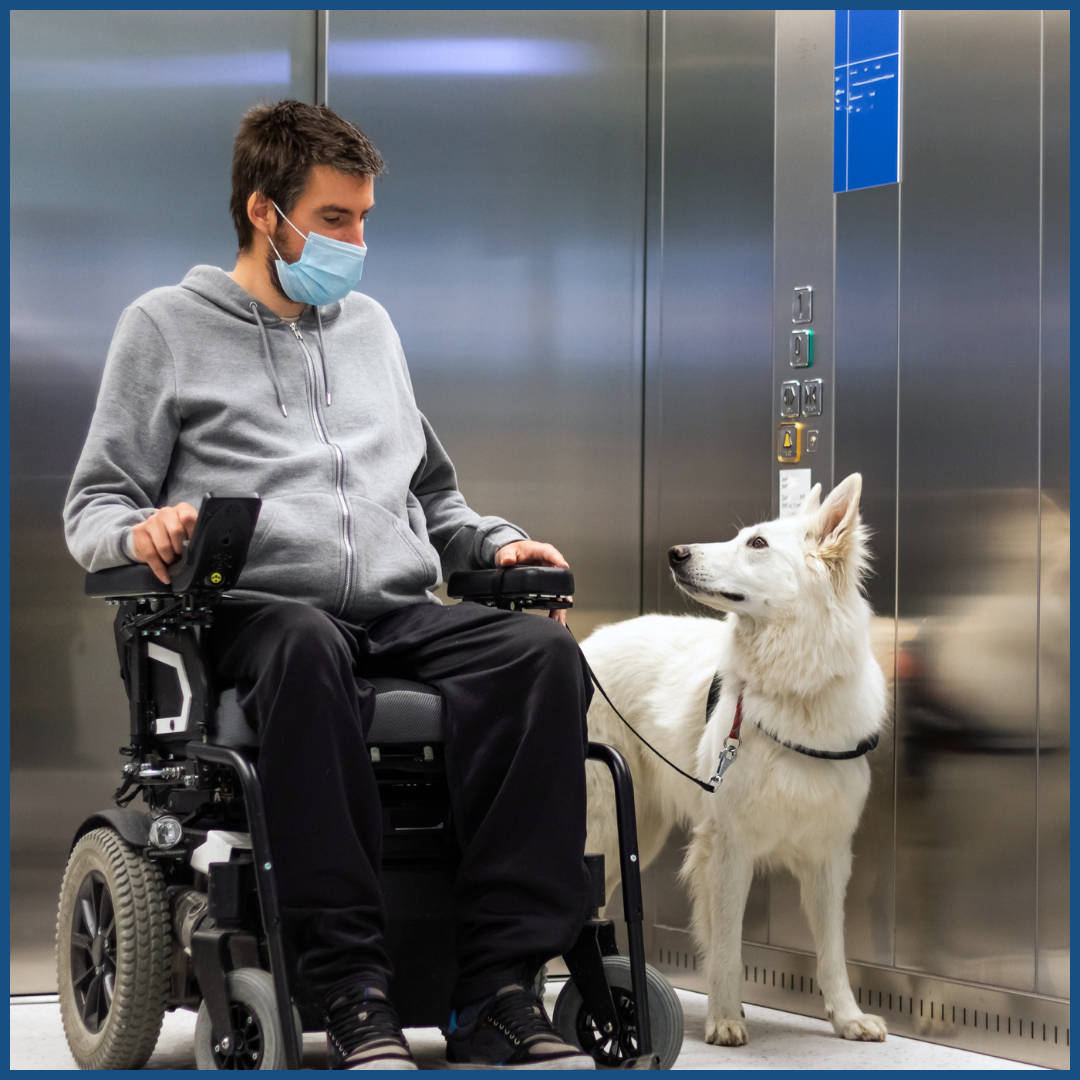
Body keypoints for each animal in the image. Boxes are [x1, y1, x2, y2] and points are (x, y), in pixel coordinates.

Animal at [587, 475, 889, 1045]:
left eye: (757, 544)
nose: (674, 553)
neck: (795, 692)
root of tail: (584, 641)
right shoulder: (726, 850)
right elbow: (726, 945)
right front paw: (725, 1017)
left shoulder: (828, 856)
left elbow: (833, 950)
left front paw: (847, 1017)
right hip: (606, 831)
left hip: (636, 832)